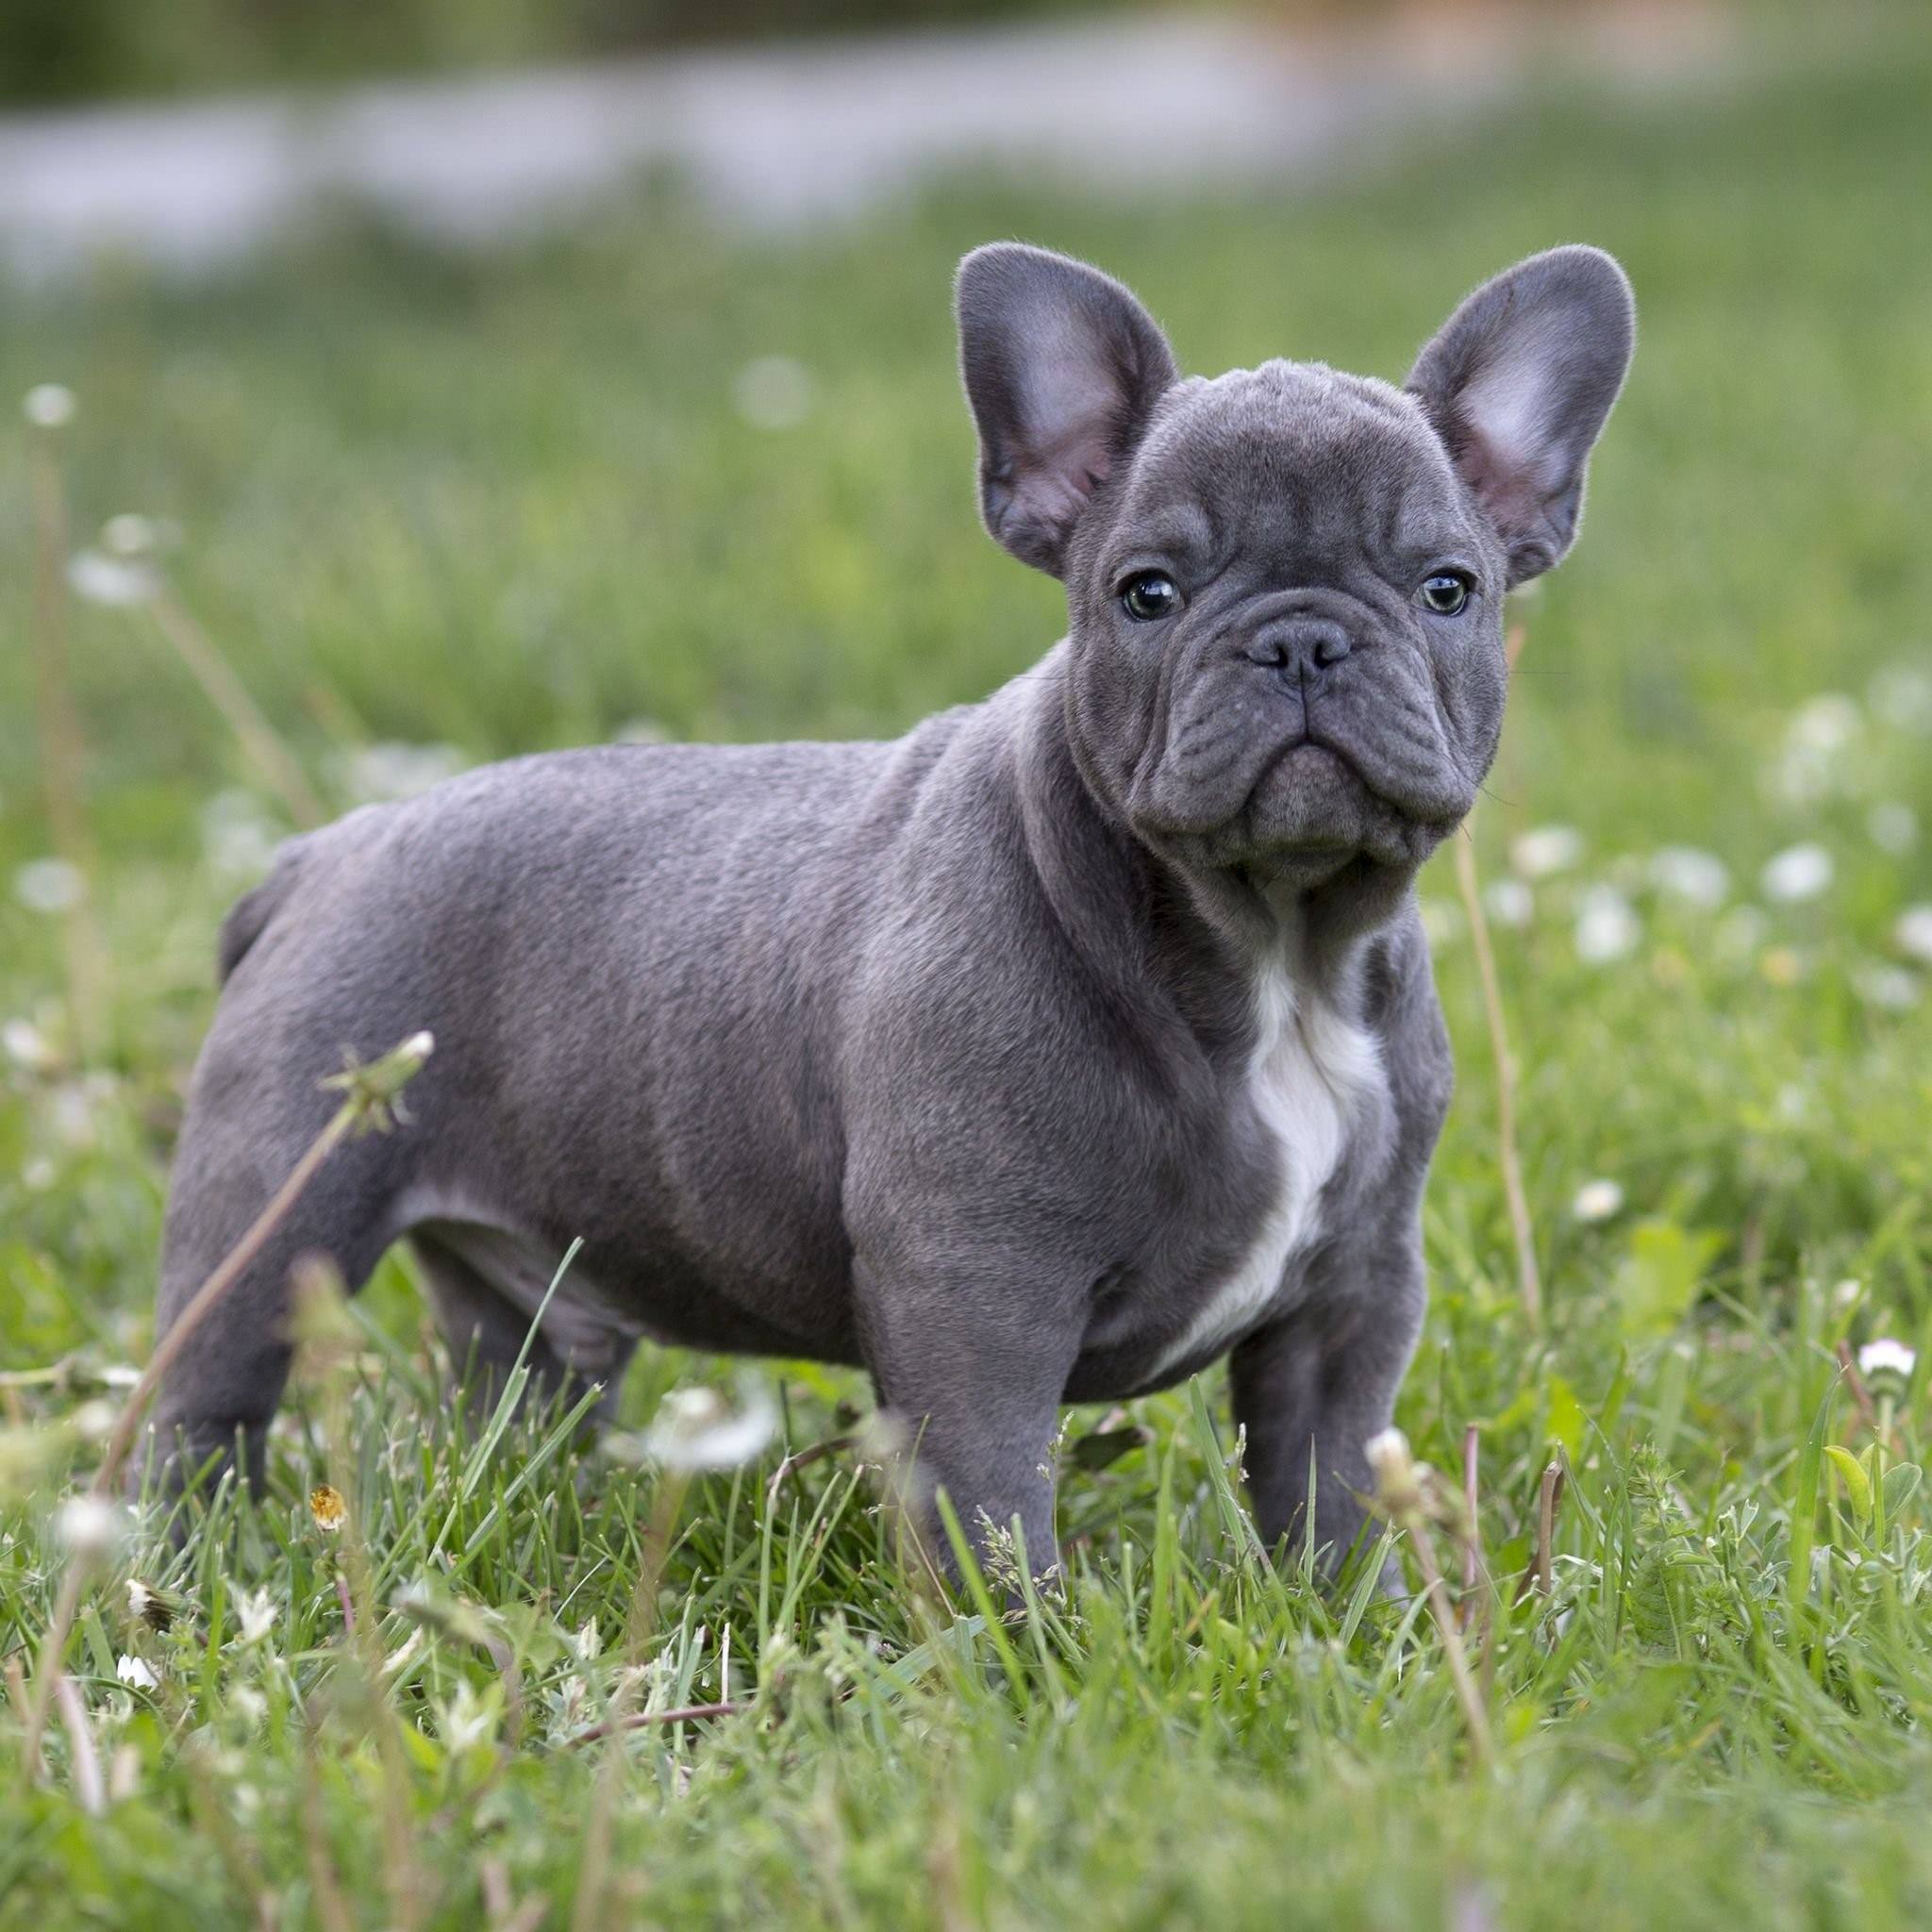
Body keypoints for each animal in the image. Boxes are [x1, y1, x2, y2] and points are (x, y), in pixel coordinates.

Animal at [146, 242, 1630, 1576]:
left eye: (1449, 588)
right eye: (1145, 593)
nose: (1302, 639)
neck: (1275, 942)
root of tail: (321, 852)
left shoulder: (1351, 1295)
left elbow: (1328, 1483)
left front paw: (1352, 1620)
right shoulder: (976, 1294)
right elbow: (992, 1502)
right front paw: (1019, 1654)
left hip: (531, 1300)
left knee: (523, 1385)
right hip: (276, 1198)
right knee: (205, 1398)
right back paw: (187, 1559)